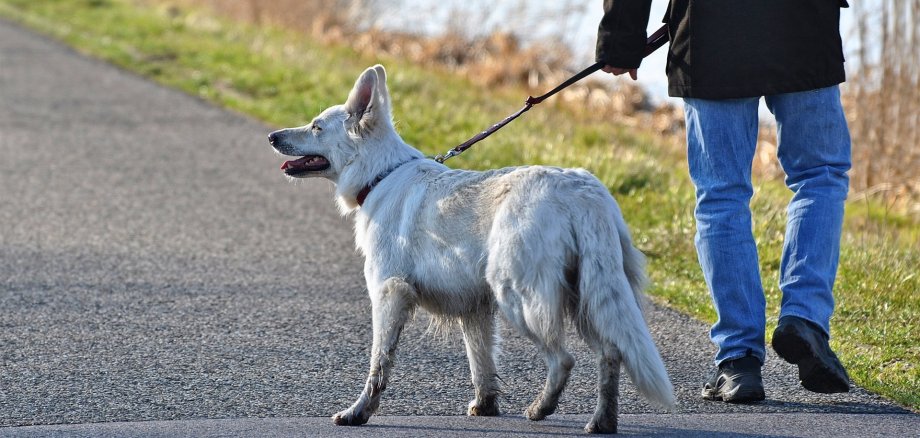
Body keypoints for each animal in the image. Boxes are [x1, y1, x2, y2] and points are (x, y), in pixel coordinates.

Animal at [270, 65, 672, 434]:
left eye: (316, 127)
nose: (272, 136)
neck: (380, 175)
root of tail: (583, 191)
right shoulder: (475, 309)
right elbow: (481, 363)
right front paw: (486, 406)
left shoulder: (389, 294)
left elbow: (379, 364)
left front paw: (359, 412)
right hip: (587, 297)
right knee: (611, 353)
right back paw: (602, 421)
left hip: (520, 298)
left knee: (563, 360)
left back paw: (541, 408)